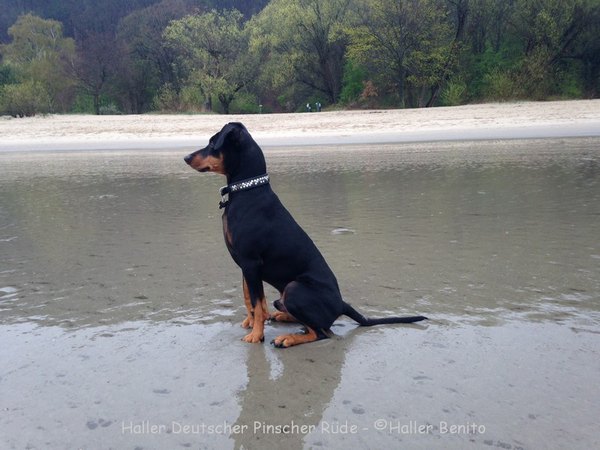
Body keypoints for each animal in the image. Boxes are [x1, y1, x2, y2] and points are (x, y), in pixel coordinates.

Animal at [183, 123, 426, 348]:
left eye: (212, 143)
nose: (185, 157)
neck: (247, 191)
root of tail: (341, 303)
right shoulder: (245, 265)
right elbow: (251, 300)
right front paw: (250, 324)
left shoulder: (251, 262)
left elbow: (256, 303)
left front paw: (256, 335)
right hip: (283, 296)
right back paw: (281, 316)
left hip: (293, 288)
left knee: (321, 332)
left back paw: (287, 339)